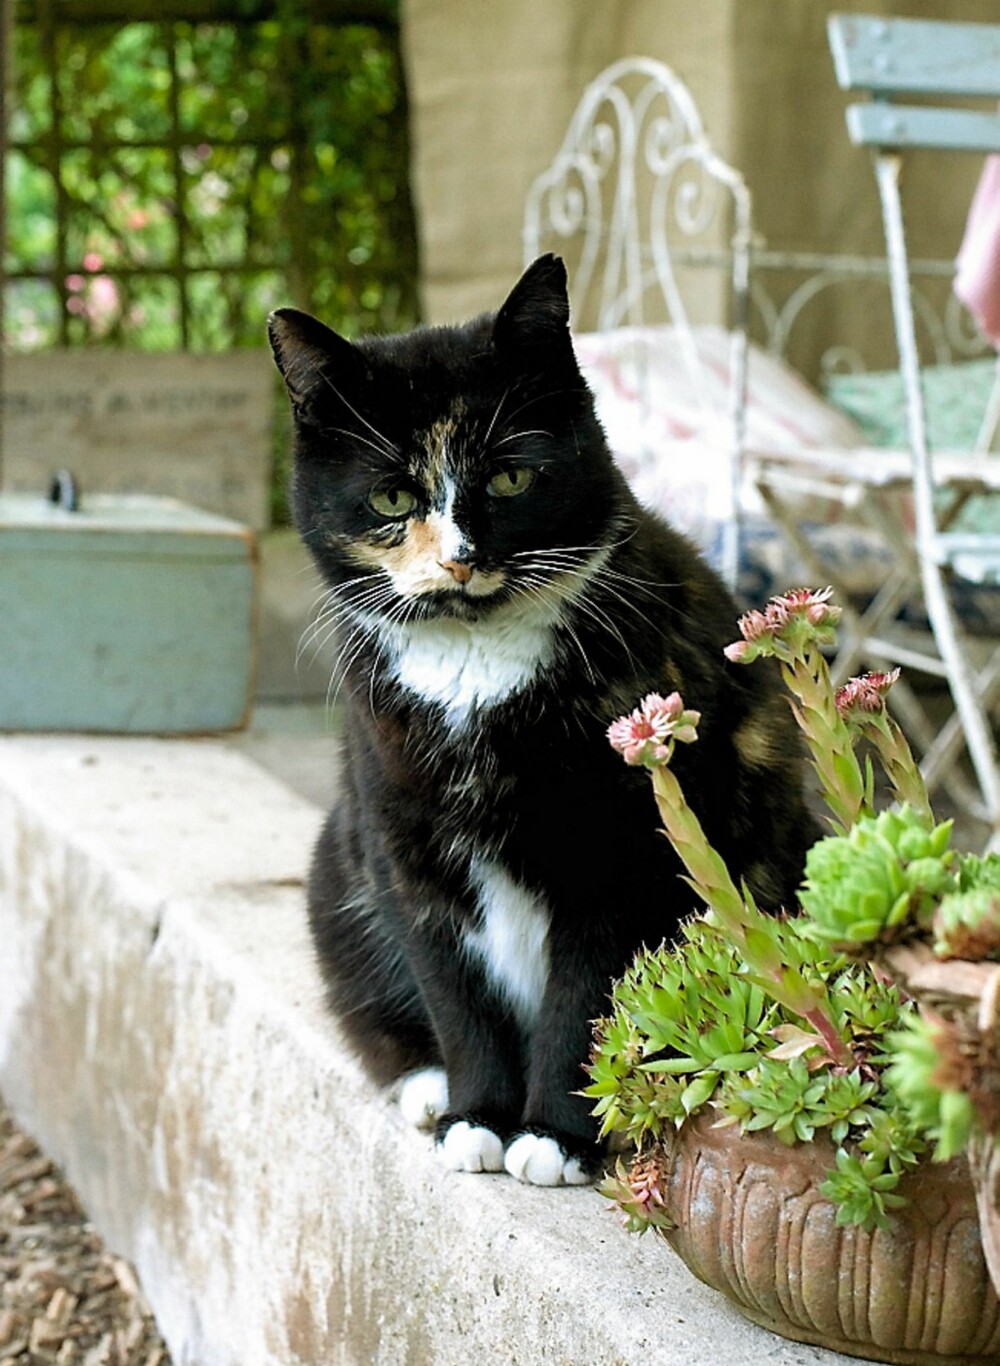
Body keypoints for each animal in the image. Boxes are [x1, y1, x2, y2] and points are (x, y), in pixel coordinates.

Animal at [269, 256, 814, 1185]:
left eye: (511, 478)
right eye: (391, 495)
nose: (461, 556)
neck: (476, 667)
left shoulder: (623, 856)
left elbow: (586, 999)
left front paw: (556, 1135)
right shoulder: (409, 851)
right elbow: (456, 995)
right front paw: (477, 1118)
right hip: (337, 870)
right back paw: (427, 1089)